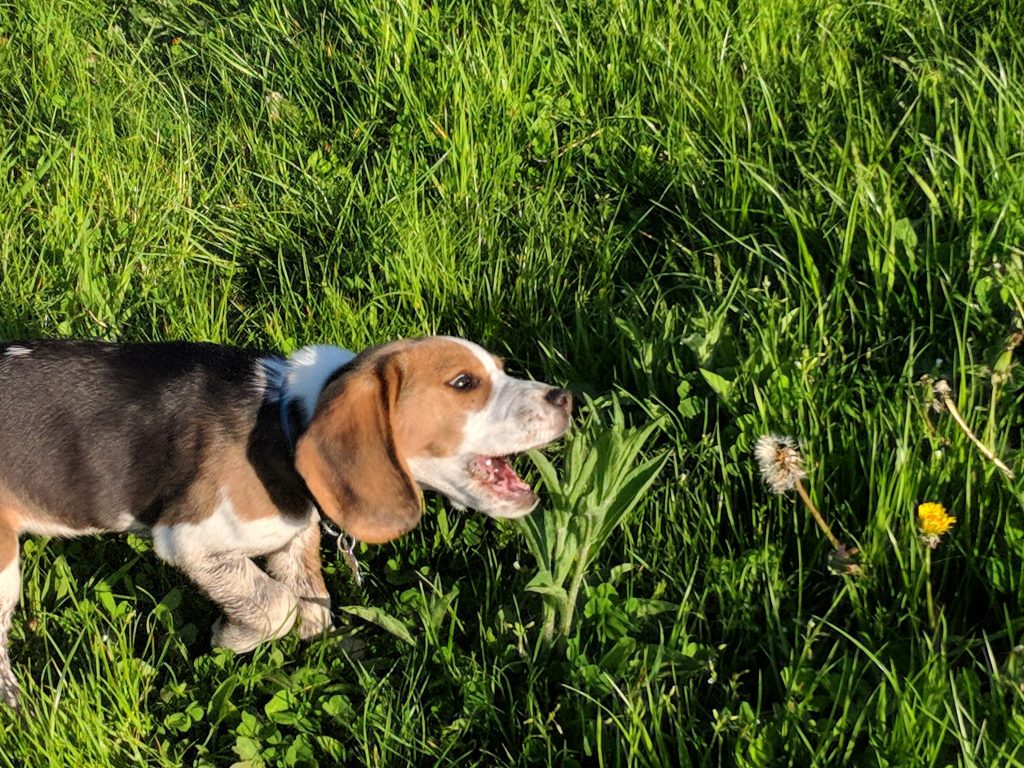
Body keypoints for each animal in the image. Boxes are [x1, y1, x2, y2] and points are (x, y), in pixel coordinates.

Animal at [0, 337, 573, 708]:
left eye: (501, 369)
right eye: (463, 382)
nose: (565, 398)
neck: (285, 419)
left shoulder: (295, 534)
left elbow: (308, 593)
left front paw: (318, 642)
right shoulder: (189, 541)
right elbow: (275, 604)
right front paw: (231, 637)